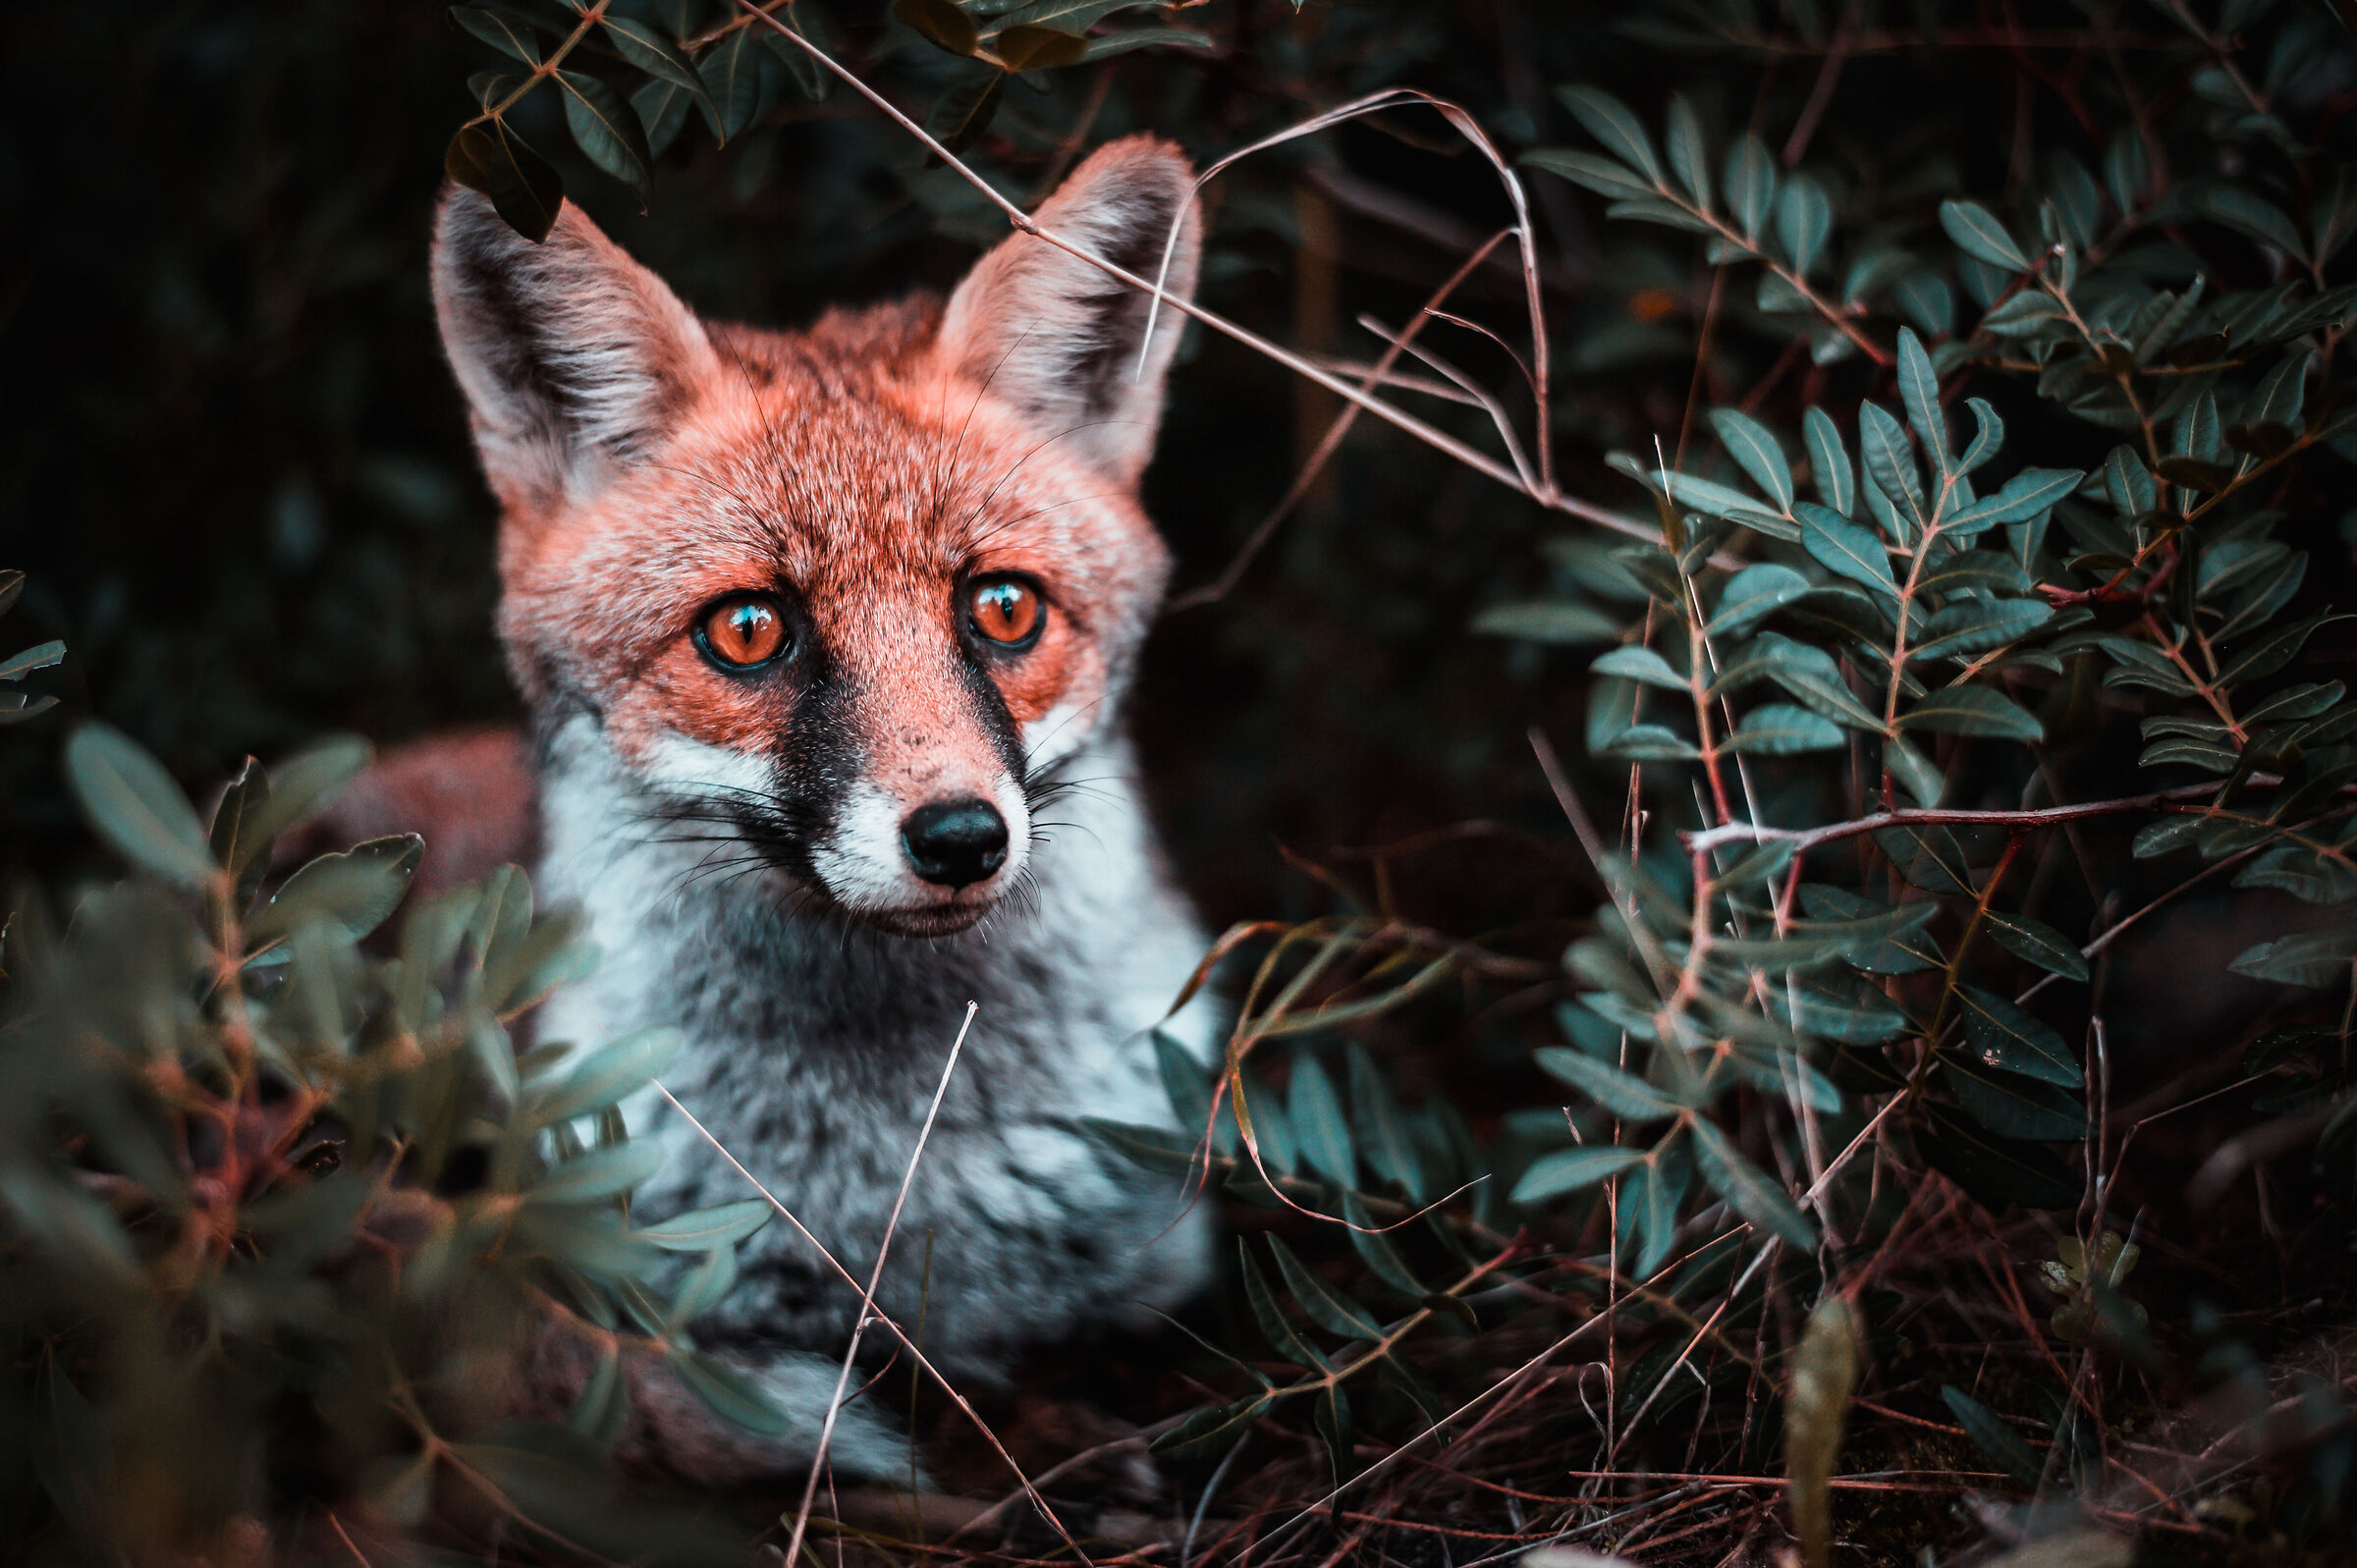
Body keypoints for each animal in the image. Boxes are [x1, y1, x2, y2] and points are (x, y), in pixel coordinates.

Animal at [320, 136, 1220, 1481]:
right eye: (748, 629)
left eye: (1004, 609)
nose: (961, 837)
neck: (886, 1170)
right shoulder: (692, 1304)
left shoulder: (1146, 1274)